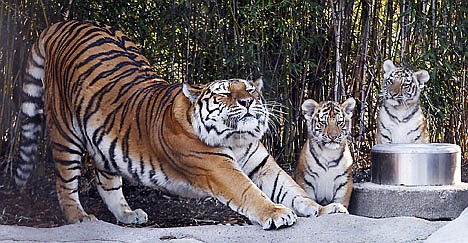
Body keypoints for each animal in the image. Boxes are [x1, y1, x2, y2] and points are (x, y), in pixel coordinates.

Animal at [15, 20, 348, 230]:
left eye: (250, 90)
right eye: (225, 93)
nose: (247, 102)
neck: (237, 138)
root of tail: (65, 23)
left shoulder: (262, 165)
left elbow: (293, 189)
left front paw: (324, 209)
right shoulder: (218, 168)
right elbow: (249, 192)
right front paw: (276, 213)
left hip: (104, 140)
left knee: (105, 179)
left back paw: (128, 215)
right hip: (65, 131)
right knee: (65, 181)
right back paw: (79, 218)